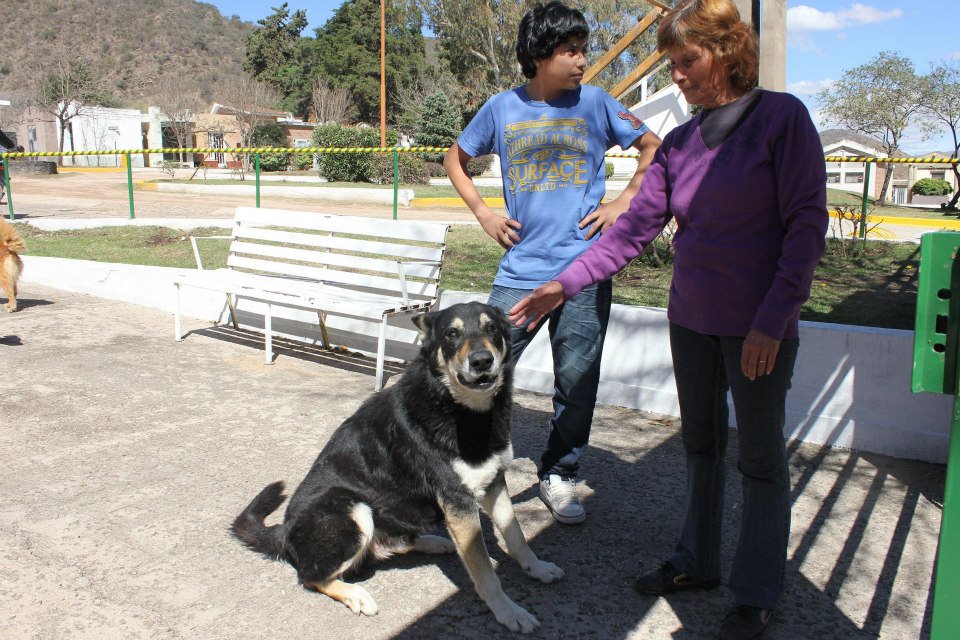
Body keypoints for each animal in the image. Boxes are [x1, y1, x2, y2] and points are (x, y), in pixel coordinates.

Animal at [232, 302, 564, 632]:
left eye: (491, 327)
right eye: (451, 334)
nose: (482, 361)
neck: (460, 406)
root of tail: (284, 530)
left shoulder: (494, 481)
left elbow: (516, 535)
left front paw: (536, 567)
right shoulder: (458, 500)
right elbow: (485, 571)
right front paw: (508, 611)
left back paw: (432, 542)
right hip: (352, 508)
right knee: (311, 576)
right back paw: (356, 594)